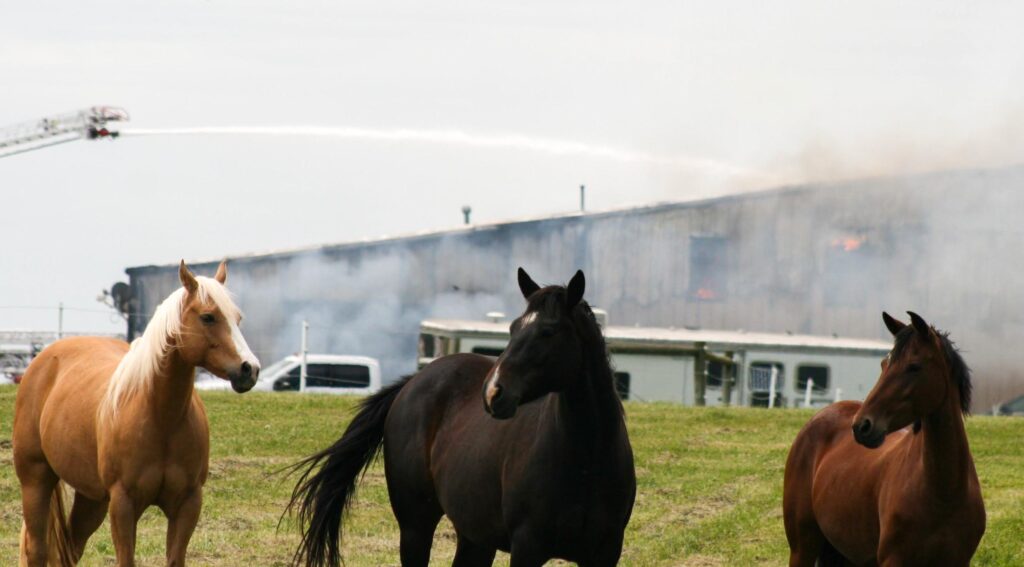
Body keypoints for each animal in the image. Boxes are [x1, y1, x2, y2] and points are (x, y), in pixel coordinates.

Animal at [12, 259, 260, 564]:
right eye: (208, 317)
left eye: (238, 318)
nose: (250, 369)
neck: (161, 418)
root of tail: (44, 358)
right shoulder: (123, 504)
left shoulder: (188, 503)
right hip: (36, 479)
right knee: (37, 549)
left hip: (92, 498)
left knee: (70, 548)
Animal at [288, 268, 634, 564]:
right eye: (513, 328)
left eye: (548, 331)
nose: (493, 392)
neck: (586, 460)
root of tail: (413, 382)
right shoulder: (527, 548)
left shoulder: (605, 554)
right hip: (416, 527)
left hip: (475, 538)